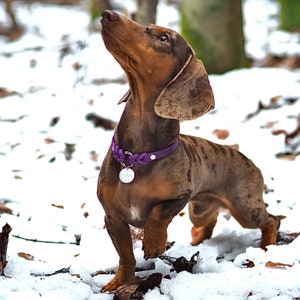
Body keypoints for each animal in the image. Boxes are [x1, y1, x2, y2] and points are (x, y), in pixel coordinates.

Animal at [97, 10, 280, 292]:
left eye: (163, 37)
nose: (108, 14)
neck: (136, 159)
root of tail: (249, 160)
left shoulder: (181, 196)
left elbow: (158, 214)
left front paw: (154, 243)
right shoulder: (113, 218)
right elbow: (126, 256)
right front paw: (120, 283)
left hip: (246, 209)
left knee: (272, 220)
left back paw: (268, 247)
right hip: (199, 212)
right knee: (208, 225)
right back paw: (194, 245)